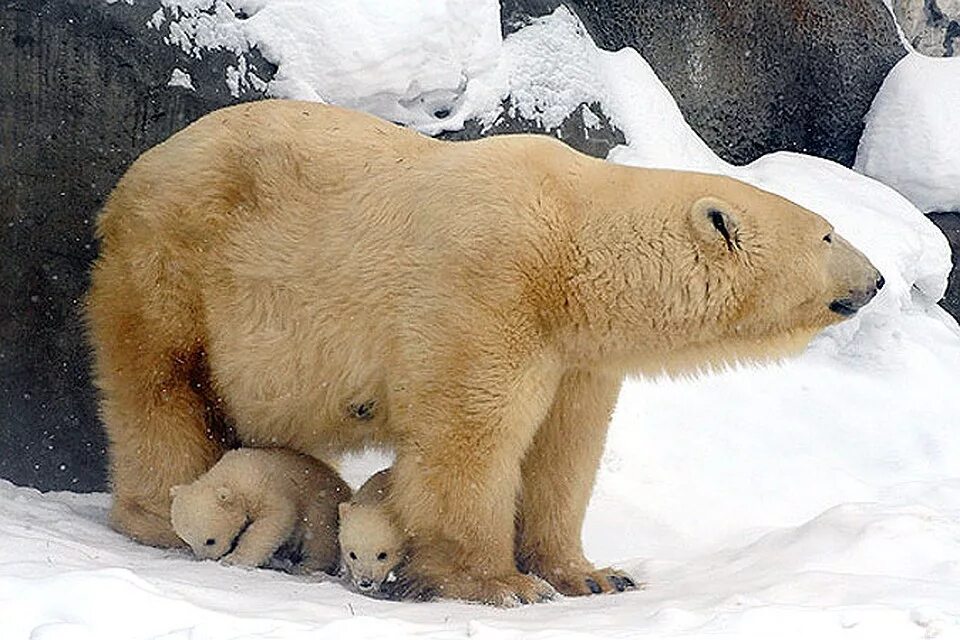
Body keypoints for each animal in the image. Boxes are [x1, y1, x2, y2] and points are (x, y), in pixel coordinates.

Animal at [86, 100, 880, 604]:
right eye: (829, 233)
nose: (875, 280)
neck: (569, 246)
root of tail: (130, 180)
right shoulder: (486, 289)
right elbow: (470, 436)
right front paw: (499, 583)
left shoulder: (575, 351)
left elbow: (564, 451)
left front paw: (592, 575)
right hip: (175, 264)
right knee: (160, 383)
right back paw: (163, 516)